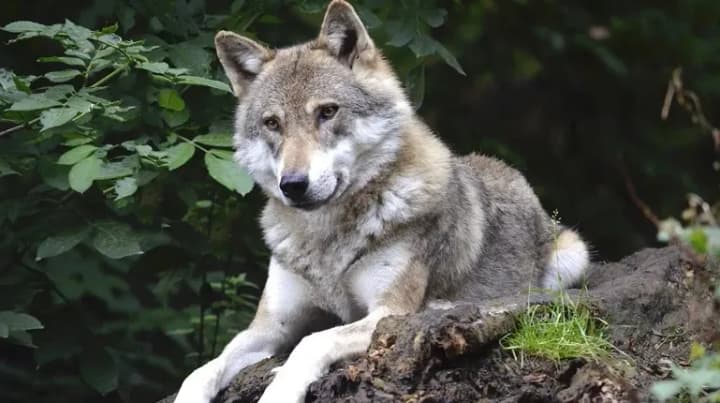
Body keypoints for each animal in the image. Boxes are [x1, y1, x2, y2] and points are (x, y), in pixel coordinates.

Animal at [173, 1, 590, 402]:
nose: (293, 184)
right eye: (273, 123)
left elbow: (311, 342)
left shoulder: (386, 312)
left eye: (327, 111)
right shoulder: (269, 327)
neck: (326, 240)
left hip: (572, 256)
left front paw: (280, 390)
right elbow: (202, 369)